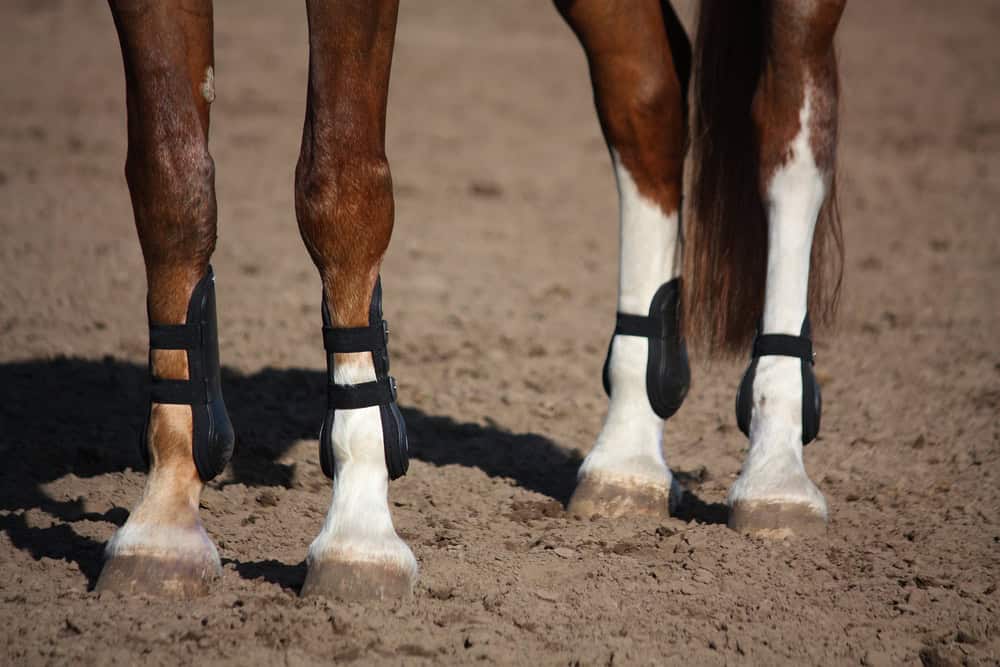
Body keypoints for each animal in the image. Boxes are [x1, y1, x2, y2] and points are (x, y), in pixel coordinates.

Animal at [97, 0, 846, 599]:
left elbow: (339, 186)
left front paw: (359, 531)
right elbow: (170, 185)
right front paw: (163, 521)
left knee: (789, 116)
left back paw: (776, 466)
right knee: (647, 89)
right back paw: (627, 458)